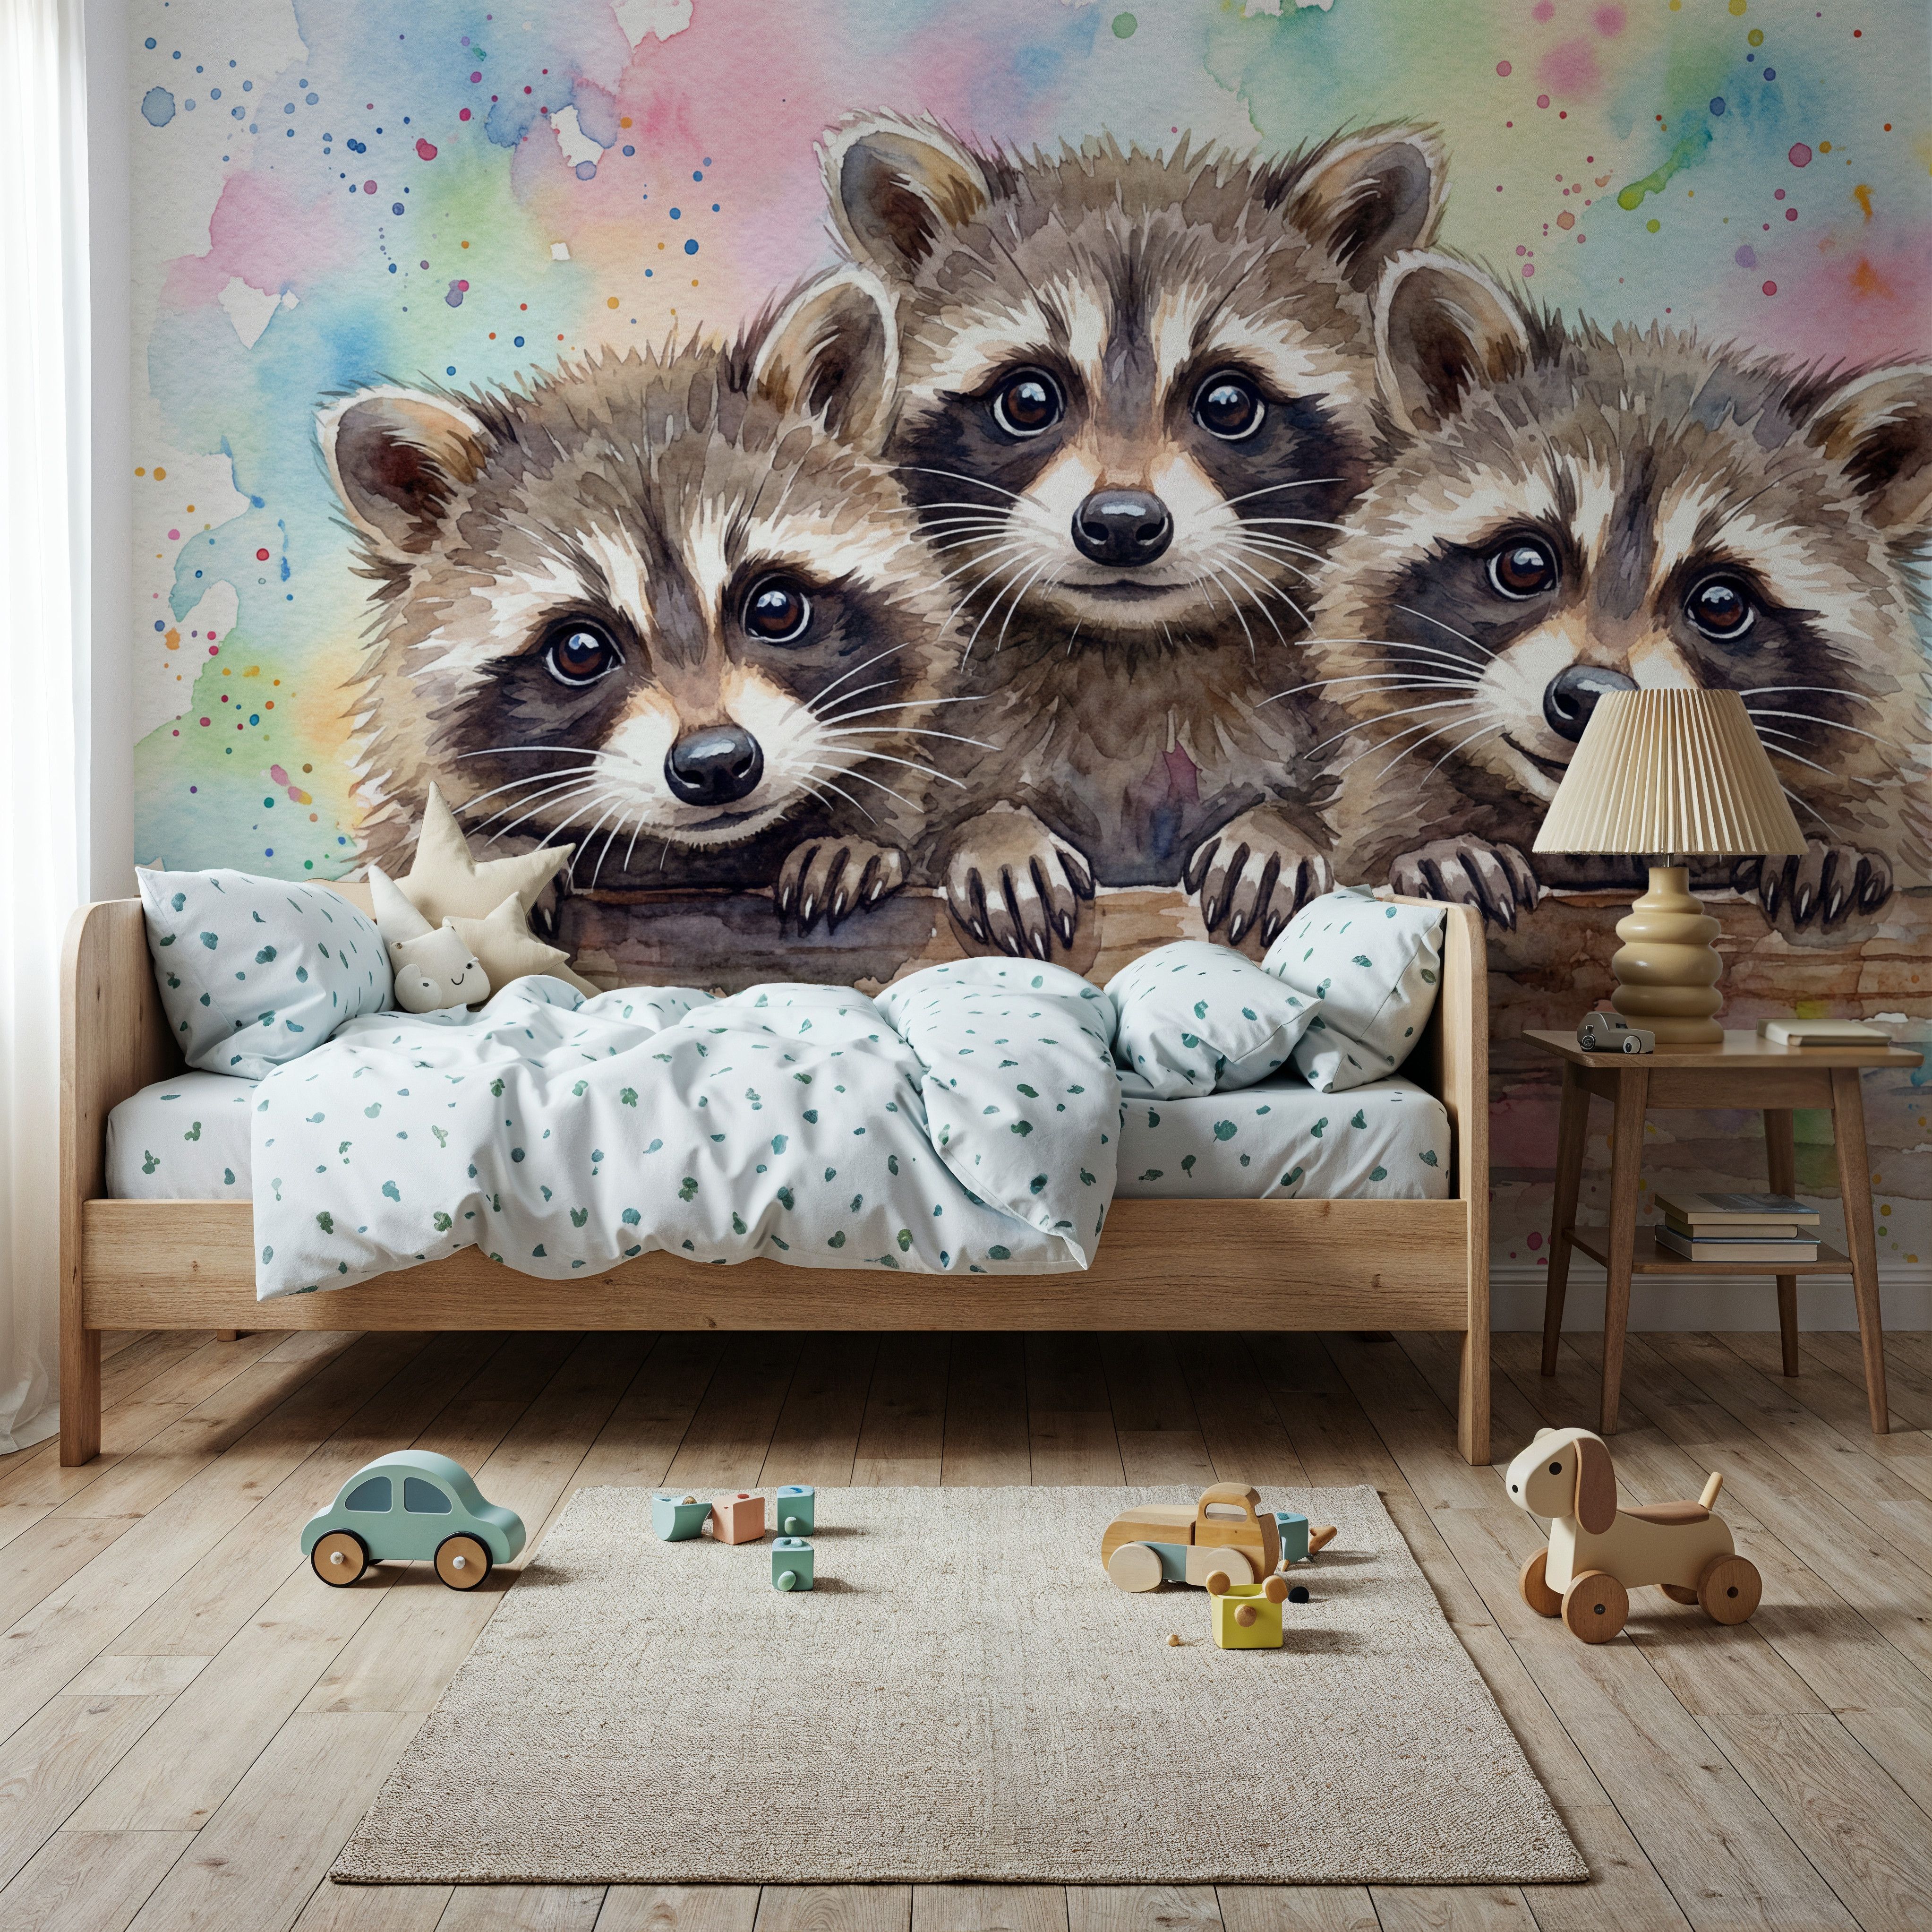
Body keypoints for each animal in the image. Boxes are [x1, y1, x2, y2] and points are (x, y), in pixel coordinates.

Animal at [818, 114, 1446, 957]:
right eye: (1027, 399)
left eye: (1227, 402)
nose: (1121, 525)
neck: (1134, 652)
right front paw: (992, 828)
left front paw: (1281, 824)